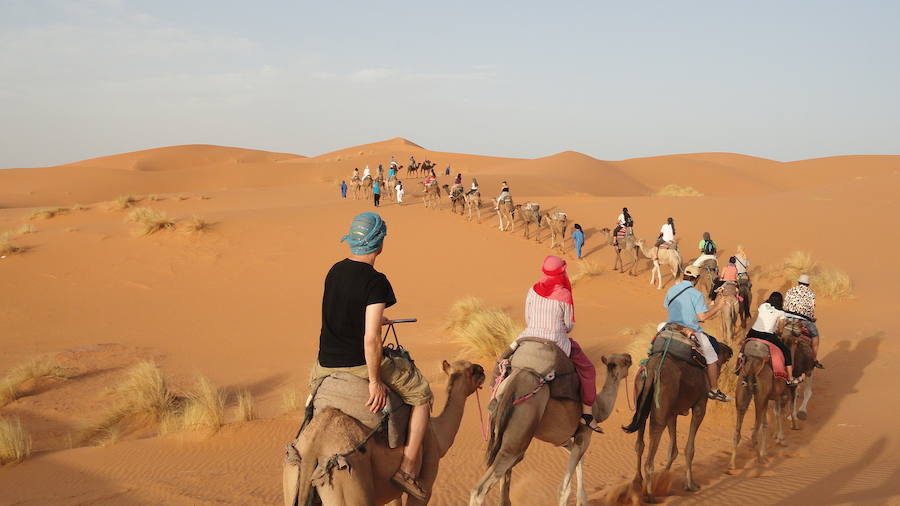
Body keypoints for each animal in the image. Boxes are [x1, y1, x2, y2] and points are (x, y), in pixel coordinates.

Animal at [286, 360, 486, 506]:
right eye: (473, 371)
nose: (483, 369)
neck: (438, 437)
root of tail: (313, 447)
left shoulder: (392, 492)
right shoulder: (426, 485)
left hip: (293, 474)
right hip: (346, 483)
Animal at [472, 352, 632, 506]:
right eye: (624, 361)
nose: (630, 357)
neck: (599, 407)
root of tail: (515, 382)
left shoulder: (563, 441)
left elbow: (580, 461)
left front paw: (581, 500)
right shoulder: (584, 435)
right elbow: (563, 488)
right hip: (516, 441)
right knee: (479, 490)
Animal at [624, 340, 736, 502]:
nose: (730, 350)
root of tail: (651, 370)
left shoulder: (673, 412)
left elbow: (673, 450)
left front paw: (663, 480)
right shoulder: (700, 405)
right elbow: (689, 449)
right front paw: (690, 485)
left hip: (642, 399)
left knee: (640, 442)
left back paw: (638, 483)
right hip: (661, 405)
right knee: (652, 446)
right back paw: (649, 495)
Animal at [732, 338, 788, 468]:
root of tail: (752, 366)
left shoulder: (769, 398)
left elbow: (766, 423)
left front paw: (767, 449)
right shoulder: (779, 395)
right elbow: (777, 414)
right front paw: (780, 439)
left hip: (742, 392)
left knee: (737, 432)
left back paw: (732, 465)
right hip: (760, 398)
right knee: (753, 434)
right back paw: (760, 460)